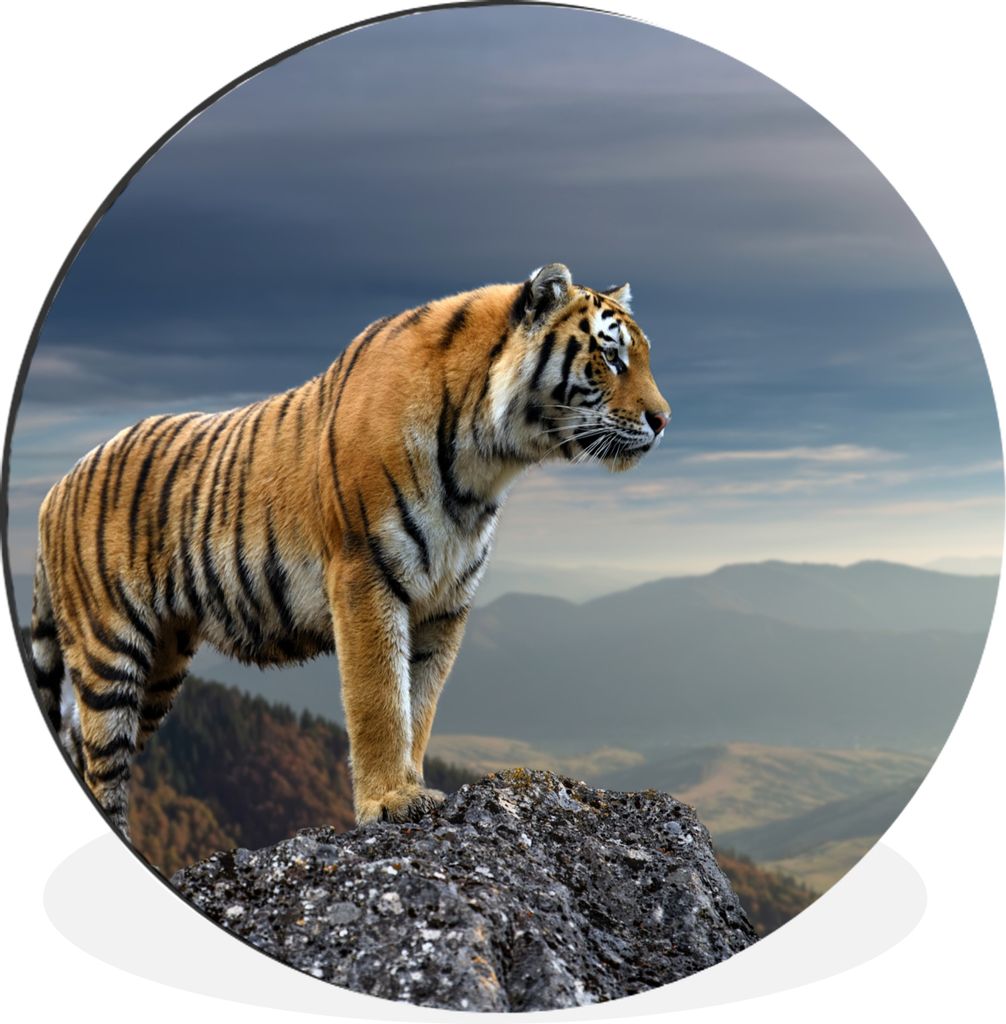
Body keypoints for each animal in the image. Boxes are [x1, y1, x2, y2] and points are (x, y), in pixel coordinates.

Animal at [28, 262, 670, 835]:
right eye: (611, 357)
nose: (663, 420)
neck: (486, 465)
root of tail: (54, 489)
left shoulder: (446, 602)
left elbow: (420, 703)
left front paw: (411, 785)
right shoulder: (367, 575)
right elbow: (380, 699)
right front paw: (390, 800)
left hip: (161, 666)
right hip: (110, 653)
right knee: (101, 767)